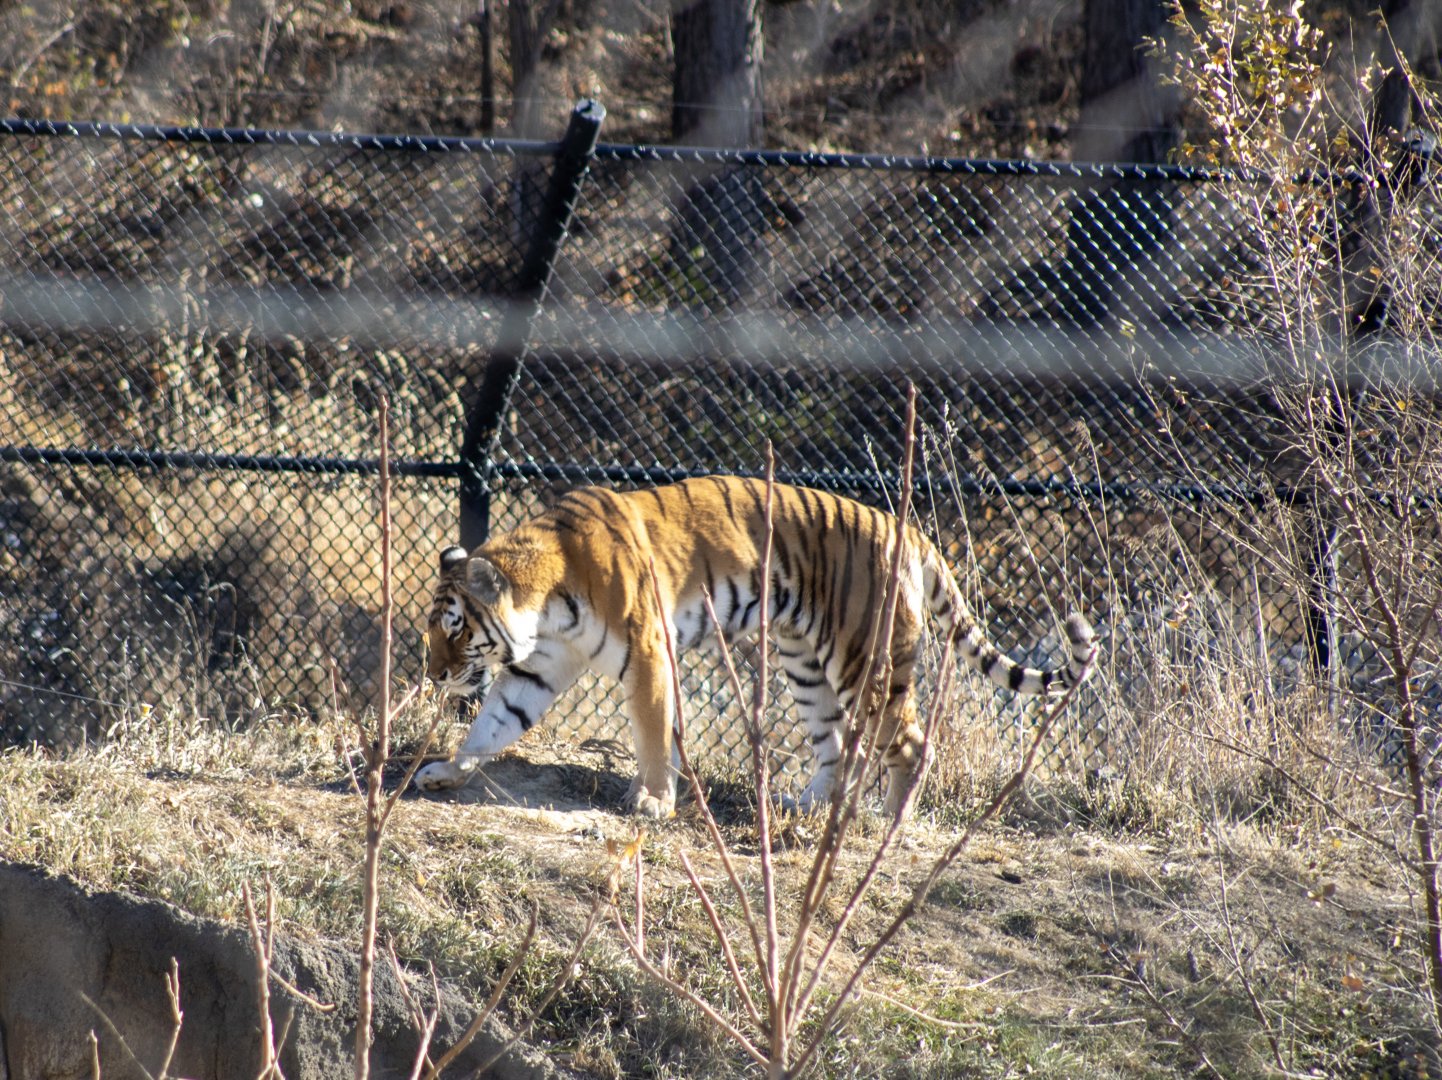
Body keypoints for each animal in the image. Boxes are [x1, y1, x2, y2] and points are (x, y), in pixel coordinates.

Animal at [414, 476, 1096, 819]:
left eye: (455, 628)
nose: (433, 675)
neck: (547, 601)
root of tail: (910, 532)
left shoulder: (650, 655)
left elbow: (653, 733)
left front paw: (654, 801)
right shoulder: (540, 666)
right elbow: (494, 723)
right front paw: (447, 770)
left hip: (863, 661)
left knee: (908, 742)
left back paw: (887, 822)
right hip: (804, 665)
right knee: (836, 746)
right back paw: (805, 807)